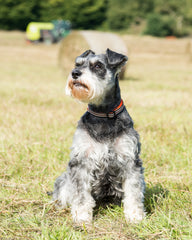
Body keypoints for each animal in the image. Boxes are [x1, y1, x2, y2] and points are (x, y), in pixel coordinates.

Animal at [52, 47, 146, 224]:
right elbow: (81, 195)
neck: (103, 114)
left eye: (98, 66)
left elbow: (134, 191)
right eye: (77, 64)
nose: (74, 73)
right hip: (64, 180)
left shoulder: (130, 160)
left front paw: (135, 216)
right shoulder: (82, 161)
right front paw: (81, 217)